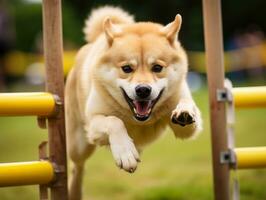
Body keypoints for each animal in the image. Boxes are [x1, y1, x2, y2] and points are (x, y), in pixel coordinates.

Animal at [65, 5, 203, 199]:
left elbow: (185, 105)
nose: (143, 90)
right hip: (79, 145)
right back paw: (75, 190)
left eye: (157, 68)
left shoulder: (185, 129)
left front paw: (184, 112)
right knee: (78, 167)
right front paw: (125, 153)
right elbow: (114, 121)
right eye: (127, 68)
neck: (137, 119)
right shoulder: (93, 125)